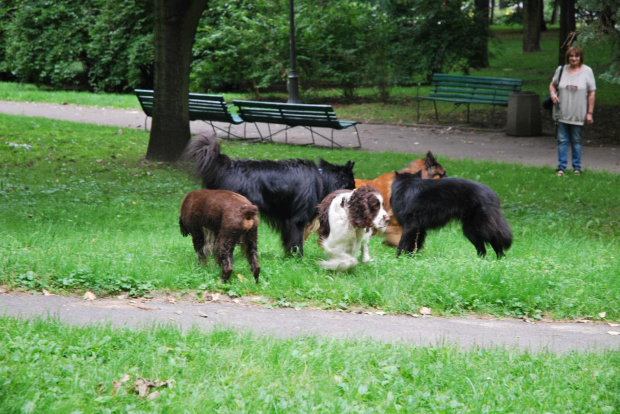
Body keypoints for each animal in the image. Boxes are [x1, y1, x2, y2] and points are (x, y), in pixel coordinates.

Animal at [184, 133, 356, 256]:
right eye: (352, 185)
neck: (322, 178)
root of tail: (227, 166)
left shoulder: (287, 222)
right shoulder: (297, 220)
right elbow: (297, 241)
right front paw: (298, 257)